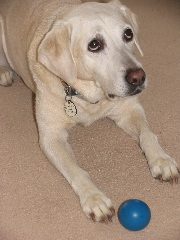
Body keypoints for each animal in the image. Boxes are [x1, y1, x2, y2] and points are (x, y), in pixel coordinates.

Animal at [0, 0, 179, 223]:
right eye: (94, 44)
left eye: (128, 34)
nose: (138, 77)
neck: (90, 96)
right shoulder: (51, 137)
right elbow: (76, 170)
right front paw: (95, 199)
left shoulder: (129, 109)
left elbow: (148, 134)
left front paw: (162, 160)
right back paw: (4, 72)